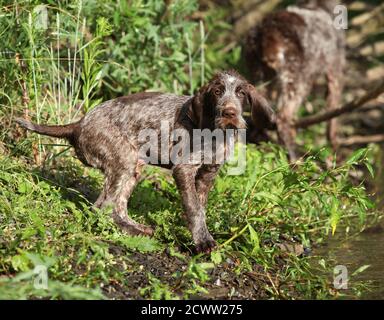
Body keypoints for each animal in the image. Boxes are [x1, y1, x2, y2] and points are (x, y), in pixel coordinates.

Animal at [16, 70, 274, 252]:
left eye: (240, 93)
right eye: (218, 92)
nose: (230, 113)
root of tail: (79, 123)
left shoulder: (208, 173)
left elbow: (200, 207)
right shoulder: (184, 169)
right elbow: (194, 208)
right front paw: (202, 242)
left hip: (133, 168)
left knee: (117, 206)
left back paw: (137, 228)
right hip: (124, 160)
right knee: (101, 207)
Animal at [243, 0, 344, 160]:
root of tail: (268, 34)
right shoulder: (334, 69)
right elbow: (333, 111)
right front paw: (334, 151)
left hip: (259, 75)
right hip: (296, 79)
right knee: (283, 118)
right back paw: (295, 159)